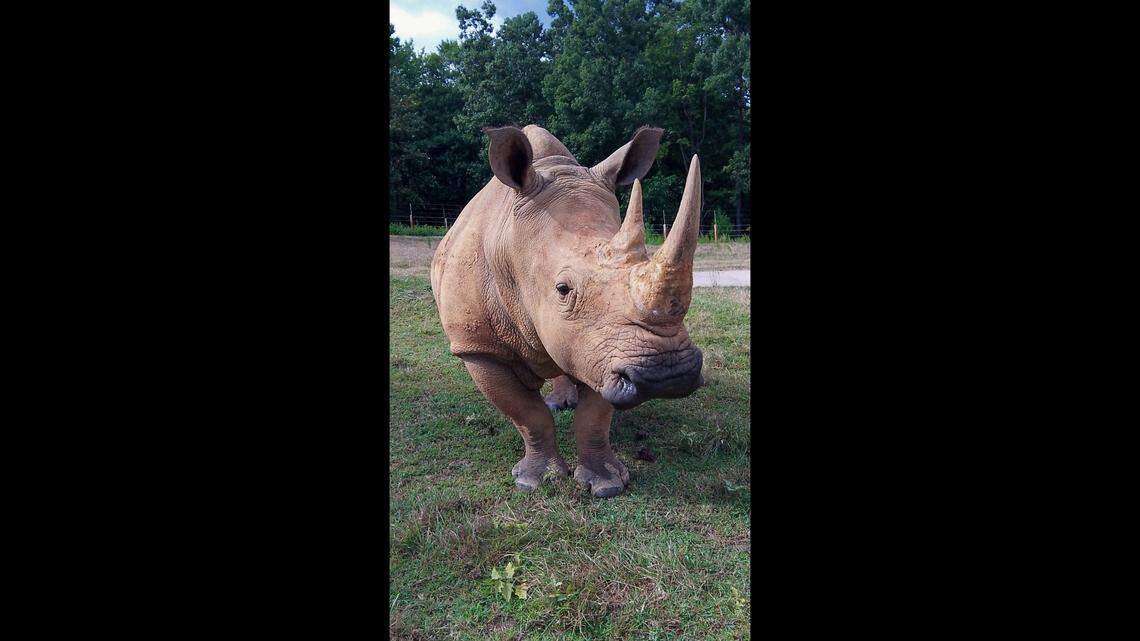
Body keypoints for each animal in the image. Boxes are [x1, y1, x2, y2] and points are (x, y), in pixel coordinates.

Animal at [430, 124, 704, 498]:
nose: (669, 374)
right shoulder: (478, 348)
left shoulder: (599, 346)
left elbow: (594, 417)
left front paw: (607, 485)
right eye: (563, 289)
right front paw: (536, 481)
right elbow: (528, 414)